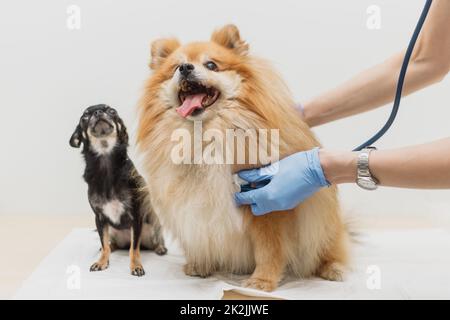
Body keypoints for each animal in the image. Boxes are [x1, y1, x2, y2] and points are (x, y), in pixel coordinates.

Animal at [70, 104, 167, 276]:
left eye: (111, 111)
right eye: (85, 117)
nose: (98, 112)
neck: (105, 165)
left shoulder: (136, 216)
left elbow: (134, 249)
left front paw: (136, 265)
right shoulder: (100, 219)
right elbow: (104, 243)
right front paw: (102, 261)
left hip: (152, 225)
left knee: (148, 241)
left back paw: (160, 248)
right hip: (112, 230)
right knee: (110, 243)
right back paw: (111, 247)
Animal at [137, 23, 348, 292]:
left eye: (211, 65)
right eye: (176, 67)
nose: (185, 68)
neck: (205, 140)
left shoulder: (266, 208)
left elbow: (269, 249)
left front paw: (262, 280)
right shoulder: (192, 205)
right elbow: (198, 237)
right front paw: (200, 264)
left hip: (323, 221)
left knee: (331, 248)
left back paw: (333, 268)